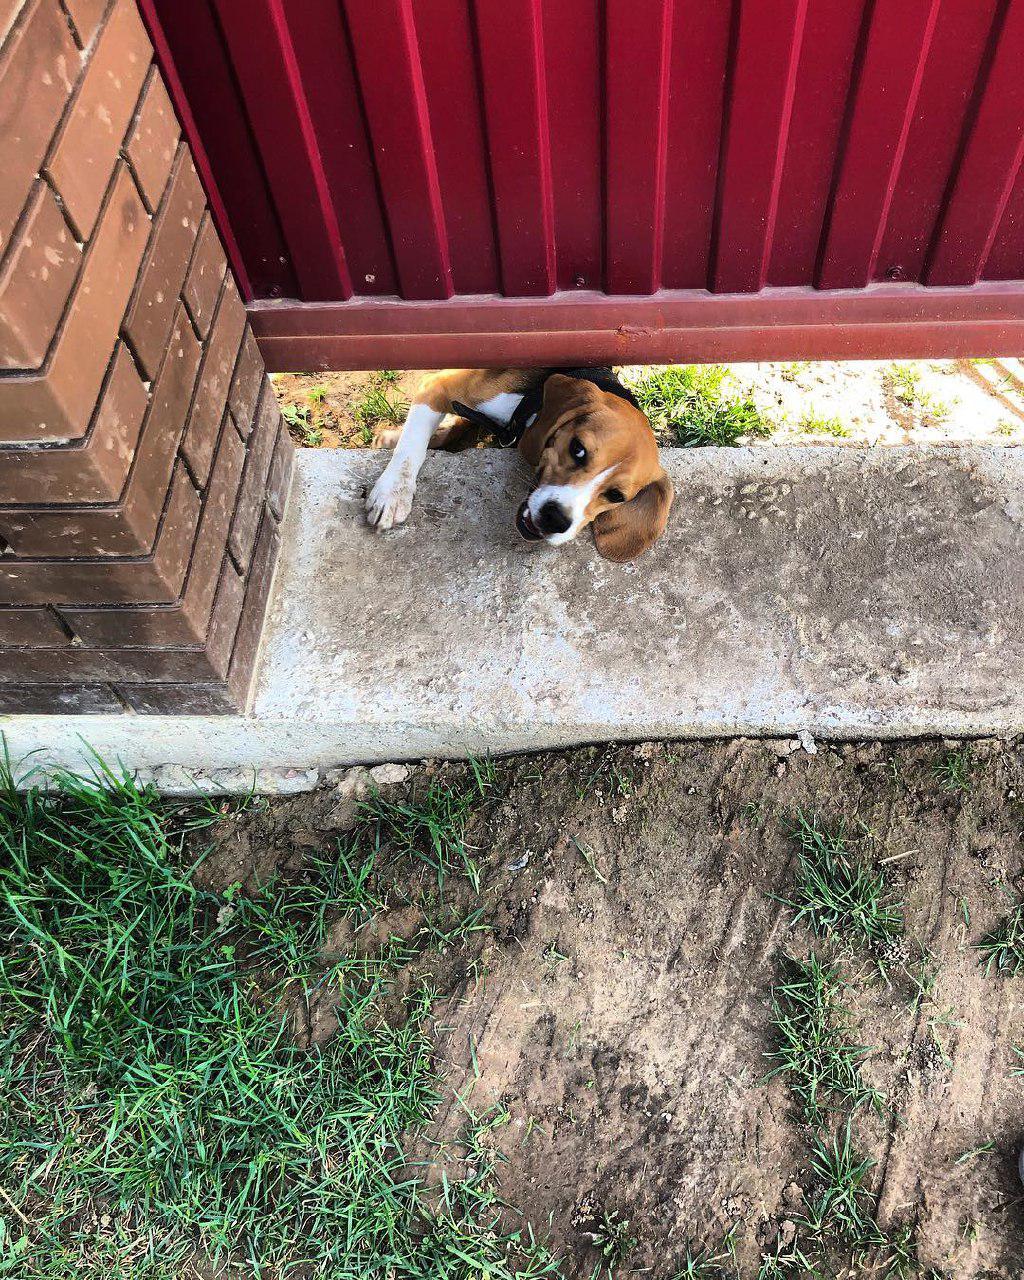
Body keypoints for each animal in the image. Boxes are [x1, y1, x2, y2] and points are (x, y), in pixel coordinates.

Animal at [366, 363, 670, 558]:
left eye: (617, 496)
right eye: (578, 449)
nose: (555, 520)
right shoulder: (438, 387)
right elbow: (411, 447)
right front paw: (393, 493)